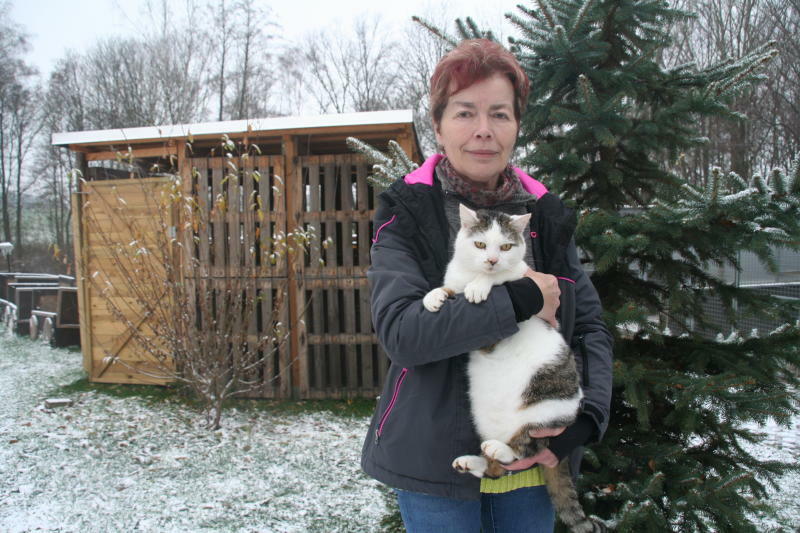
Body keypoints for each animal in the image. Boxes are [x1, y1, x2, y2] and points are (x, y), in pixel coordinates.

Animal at [424, 204, 608, 532]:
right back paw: (474, 460)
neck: (472, 272)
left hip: (543, 417)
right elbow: (450, 287)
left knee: (525, 451)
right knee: (495, 471)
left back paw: (502, 449)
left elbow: (503, 281)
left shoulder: (505, 318)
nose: (492, 260)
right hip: (484, 420)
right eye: (480, 244)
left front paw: (480, 286)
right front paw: (434, 295)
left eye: (506, 247)